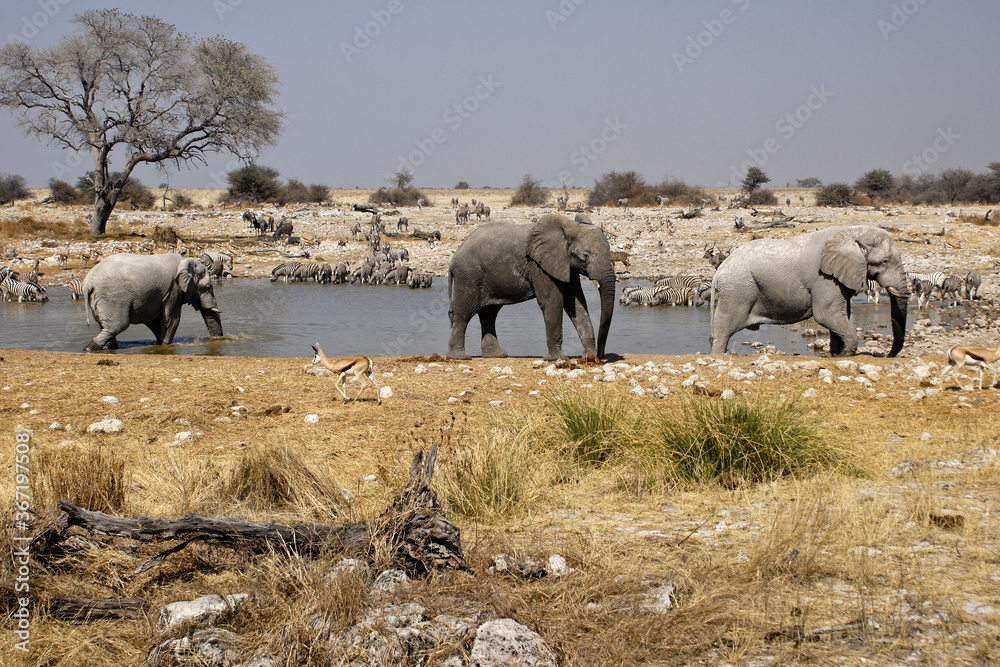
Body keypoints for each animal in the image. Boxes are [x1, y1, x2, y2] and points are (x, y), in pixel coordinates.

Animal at [82, 253, 223, 352]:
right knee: (117, 326)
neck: (185, 261)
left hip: (99, 299)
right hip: (113, 298)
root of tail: (88, 282)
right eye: (206, 288)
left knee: (105, 327)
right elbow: (171, 320)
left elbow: (155, 321)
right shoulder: (173, 291)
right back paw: (89, 349)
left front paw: (160, 344)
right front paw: (165, 345)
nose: (215, 340)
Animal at [447, 213, 616, 361]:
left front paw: (589, 356)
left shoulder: (566, 266)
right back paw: (460, 357)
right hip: (468, 275)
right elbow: (553, 302)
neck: (570, 227)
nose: (601, 356)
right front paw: (557, 359)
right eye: (584, 256)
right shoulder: (538, 265)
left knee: (489, 314)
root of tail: (455, 256)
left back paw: (496, 355)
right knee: (464, 313)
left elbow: (576, 304)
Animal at [709, 226, 909, 357]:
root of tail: (717, 273)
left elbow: (841, 314)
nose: (888, 356)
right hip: (738, 290)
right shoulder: (824, 278)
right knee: (724, 328)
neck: (852, 233)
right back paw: (718, 356)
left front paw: (836, 354)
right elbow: (826, 315)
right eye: (885, 261)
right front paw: (845, 355)